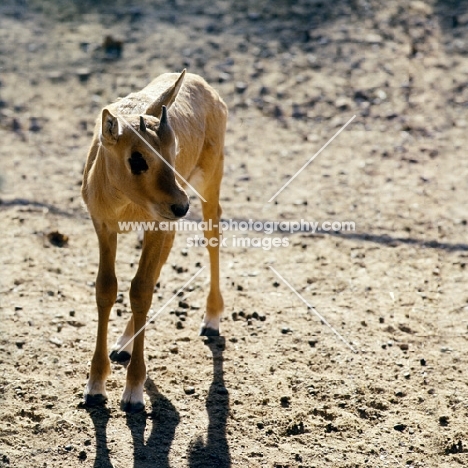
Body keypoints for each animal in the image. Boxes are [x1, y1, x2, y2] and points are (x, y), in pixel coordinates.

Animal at [81, 70, 227, 414]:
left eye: (173, 149)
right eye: (137, 159)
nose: (180, 205)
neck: (123, 203)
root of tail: (201, 83)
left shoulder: (155, 224)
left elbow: (141, 291)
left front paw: (133, 392)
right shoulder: (104, 227)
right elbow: (106, 289)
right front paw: (95, 387)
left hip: (209, 183)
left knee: (212, 235)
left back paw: (211, 320)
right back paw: (122, 345)